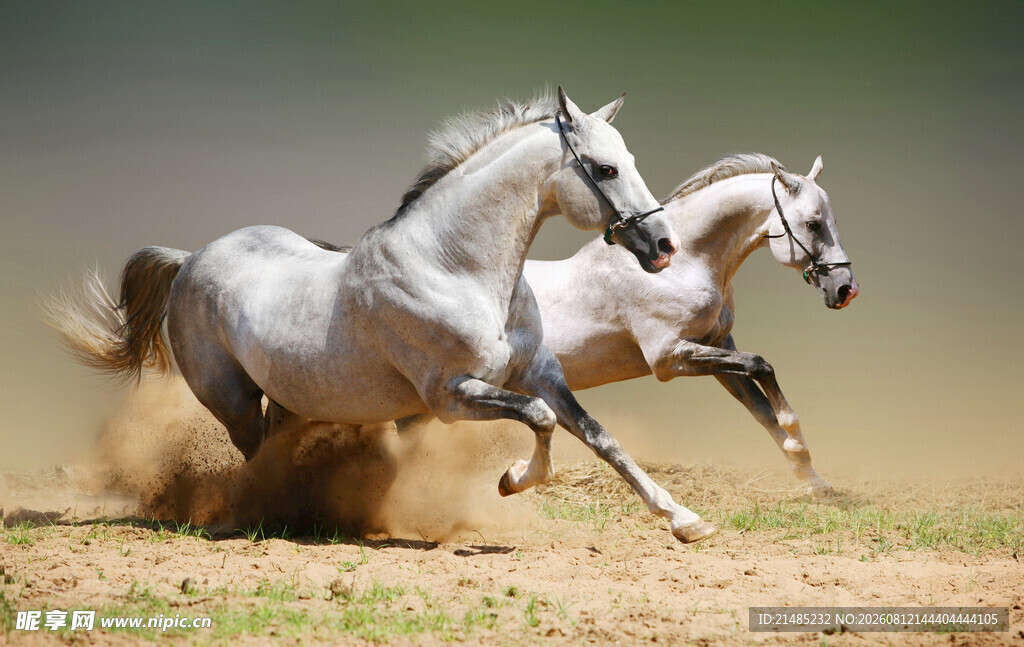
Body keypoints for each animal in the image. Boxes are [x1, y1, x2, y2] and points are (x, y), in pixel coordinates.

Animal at [49, 88, 720, 543]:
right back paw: (264, 514)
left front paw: (685, 520)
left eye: (627, 158)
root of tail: (189, 259)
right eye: (605, 168)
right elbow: (540, 421)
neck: (455, 268)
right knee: (254, 455)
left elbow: (600, 437)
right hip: (231, 399)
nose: (663, 246)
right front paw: (511, 479)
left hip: (291, 398)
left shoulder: (540, 374)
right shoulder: (451, 396)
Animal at [524, 153, 858, 495]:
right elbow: (761, 366)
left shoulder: (717, 348)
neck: (681, 266)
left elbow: (762, 410)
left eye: (832, 221)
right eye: (813, 224)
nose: (846, 289)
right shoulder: (669, 358)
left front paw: (813, 479)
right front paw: (796, 441)